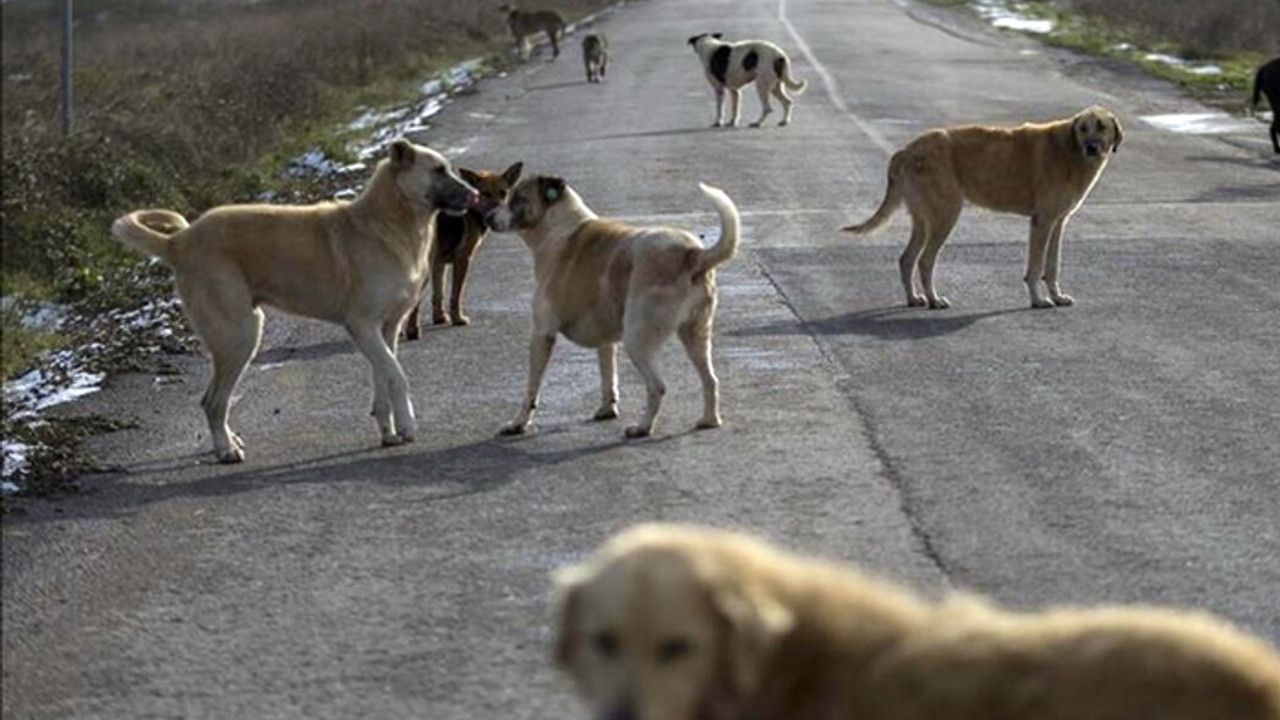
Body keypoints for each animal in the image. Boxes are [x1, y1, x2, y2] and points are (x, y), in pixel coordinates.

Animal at [108, 140, 481, 458]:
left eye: (450, 169)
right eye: (438, 170)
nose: (476, 196)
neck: (389, 222)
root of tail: (178, 242)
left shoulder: (385, 330)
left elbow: (384, 379)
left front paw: (389, 432)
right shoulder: (362, 325)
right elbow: (397, 376)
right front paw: (408, 425)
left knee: (214, 401)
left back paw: (229, 441)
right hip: (240, 335)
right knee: (212, 402)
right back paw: (226, 450)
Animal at [401, 161, 517, 335]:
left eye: (503, 193)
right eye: (486, 193)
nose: (497, 214)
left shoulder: (439, 264)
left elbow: (438, 293)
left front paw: (440, 317)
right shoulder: (463, 260)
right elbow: (456, 294)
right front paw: (458, 319)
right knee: (414, 304)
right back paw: (413, 331)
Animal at [481, 176, 742, 440]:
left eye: (517, 199)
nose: (487, 217)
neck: (558, 226)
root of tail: (693, 254)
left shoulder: (542, 334)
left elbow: (531, 388)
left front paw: (519, 423)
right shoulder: (605, 339)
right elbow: (608, 374)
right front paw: (607, 408)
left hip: (637, 340)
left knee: (657, 387)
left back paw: (643, 427)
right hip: (695, 335)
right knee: (710, 380)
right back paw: (709, 420)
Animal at [844, 105, 1126, 307]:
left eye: (1101, 127)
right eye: (1083, 128)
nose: (1091, 148)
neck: (1070, 151)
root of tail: (906, 150)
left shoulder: (1058, 223)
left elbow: (1052, 265)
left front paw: (1057, 296)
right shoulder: (1042, 221)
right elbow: (1035, 267)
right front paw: (1037, 300)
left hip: (924, 220)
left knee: (906, 259)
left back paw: (914, 299)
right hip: (945, 215)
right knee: (924, 260)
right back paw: (934, 300)